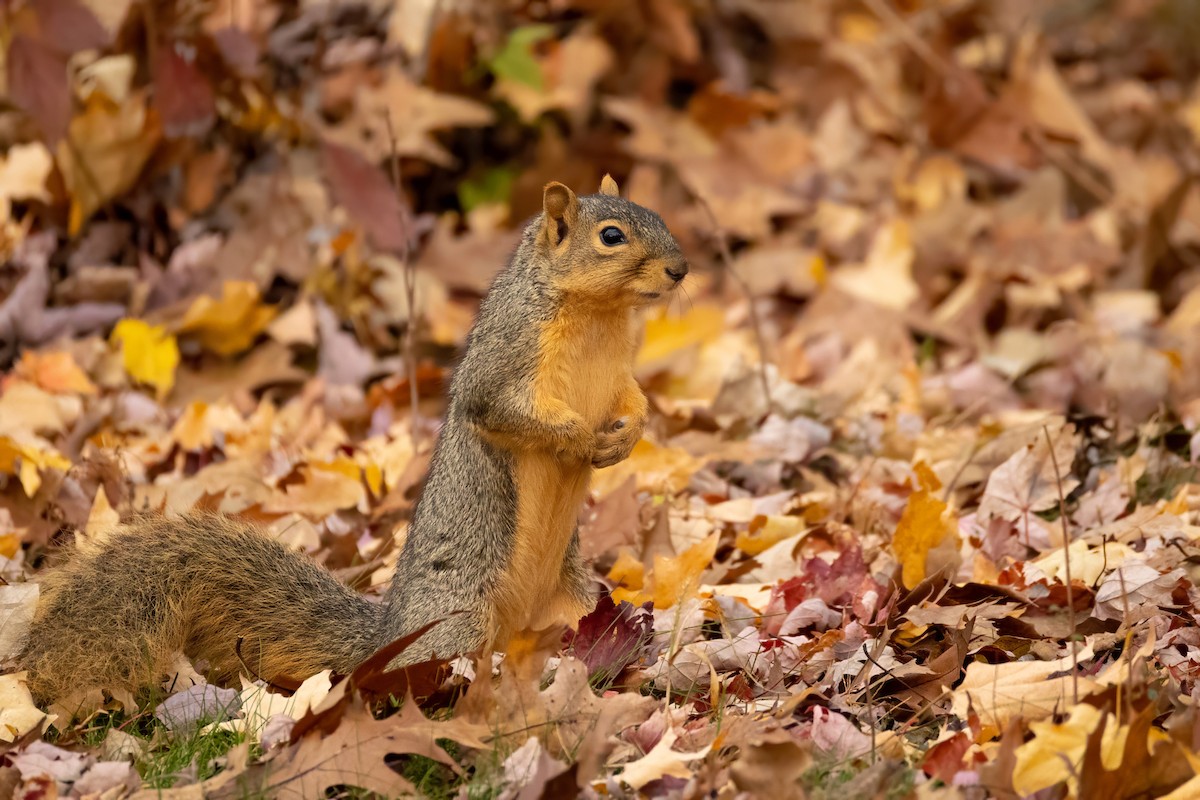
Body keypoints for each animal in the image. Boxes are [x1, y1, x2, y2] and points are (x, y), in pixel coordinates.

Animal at [19, 176, 688, 701]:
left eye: (659, 218)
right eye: (611, 236)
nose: (681, 269)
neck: (599, 319)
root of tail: (388, 639)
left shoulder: (619, 373)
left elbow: (635, 401)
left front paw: (626, 437)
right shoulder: (504, 360)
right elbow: (502, 410)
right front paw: (577, 436)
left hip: (582, 607)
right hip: (459, 619)